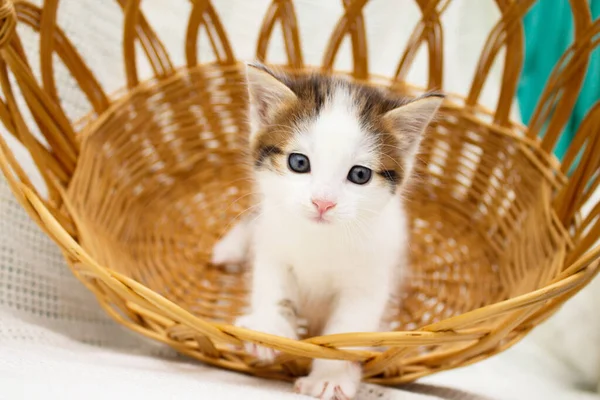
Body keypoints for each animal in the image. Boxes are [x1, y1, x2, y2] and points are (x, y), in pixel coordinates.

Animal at [211, 63, 440, 400]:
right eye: (298, 162)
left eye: (360, 175)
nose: (323, 202)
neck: (320, 239)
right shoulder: (272, 247)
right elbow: (273, 288)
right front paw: (268, 330)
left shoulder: (370, 278)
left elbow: (347, 331)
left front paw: (330, 376)